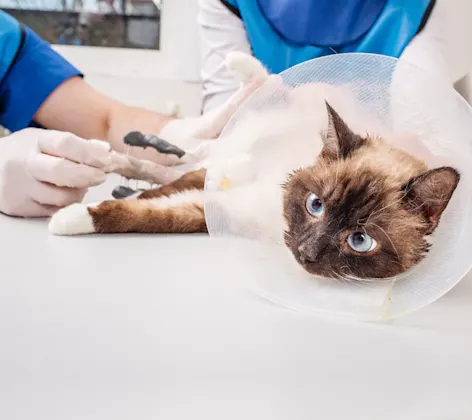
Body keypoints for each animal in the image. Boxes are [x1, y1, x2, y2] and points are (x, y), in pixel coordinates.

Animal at [48, 53, 460, 282]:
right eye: (315, 205)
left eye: (360, 242)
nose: (306, 252)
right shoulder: (217, 180)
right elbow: (159, 195)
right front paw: (69, 213)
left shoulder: (209, 210)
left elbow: (150, 214)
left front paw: (72, 217)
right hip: (260, 115)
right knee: (264, 88)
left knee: (173, 163)